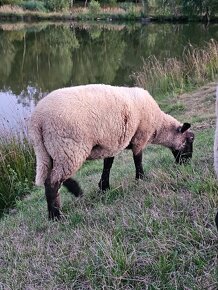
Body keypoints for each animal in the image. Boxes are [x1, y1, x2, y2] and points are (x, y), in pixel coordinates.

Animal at [28, 84, 194, 220]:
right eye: (190, 140)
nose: (187, 163)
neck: (158, 127)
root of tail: (37, 121)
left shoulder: (113, 143)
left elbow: (108, 164)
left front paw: (104, 186)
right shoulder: (140, 137)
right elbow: (138, 159)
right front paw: (141, 178)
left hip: (51, 151)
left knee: (52, 177)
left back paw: (74, 192)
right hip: (68, 147)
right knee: (52, 181)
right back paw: (56, 215)